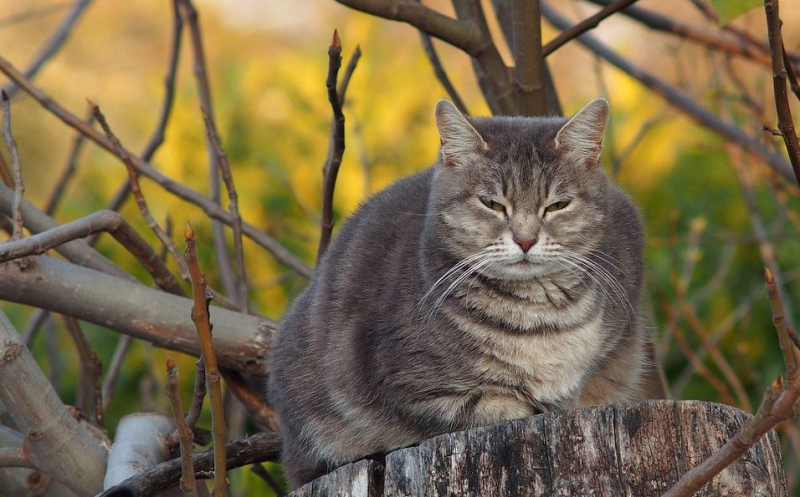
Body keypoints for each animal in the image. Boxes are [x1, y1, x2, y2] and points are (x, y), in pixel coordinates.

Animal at [268, 99, 656, 486]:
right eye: (492, 204)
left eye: (558, 205)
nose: (525, 239)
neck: (537, 316)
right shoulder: (410, 384)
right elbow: (487, 406)